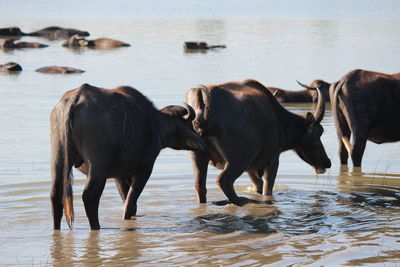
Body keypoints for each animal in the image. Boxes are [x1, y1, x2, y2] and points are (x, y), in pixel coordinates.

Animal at [50, 84, 206, 230]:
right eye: (190, 124)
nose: (201, 140)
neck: (154, 123)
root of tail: (75, 99)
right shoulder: (144, 170)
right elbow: (130, 202)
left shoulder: (118, 176)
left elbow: (127, 200)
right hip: (98, 168)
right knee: (89, 197)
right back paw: (96, 226)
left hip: (58, 160)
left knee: (56, 195)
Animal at [185, 79, 332, 205]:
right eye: (319, 132)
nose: (327, 162)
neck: (284, 126)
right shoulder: (273, 159)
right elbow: (267, 191)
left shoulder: (251, 168)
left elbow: (259, 187)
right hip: (239, 158)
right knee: (223, 180)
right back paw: (241, 201)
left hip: (198, 155)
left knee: (200, 186)